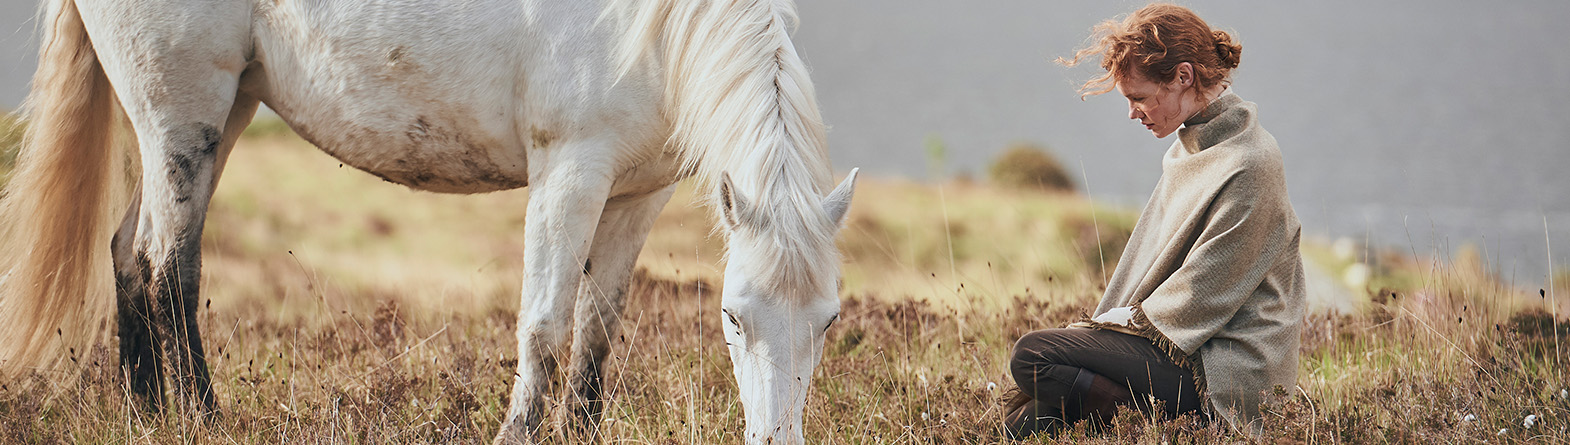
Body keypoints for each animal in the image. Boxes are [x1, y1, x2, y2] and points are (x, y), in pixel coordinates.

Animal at [0, 0, 860, 443]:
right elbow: (544, 325)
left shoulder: (633, 197)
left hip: (221, 110)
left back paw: (142, 411)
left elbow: (597, 331)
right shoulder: (568, 174)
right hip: (183, 116)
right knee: (166, 264)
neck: (650, 29)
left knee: (127, 252)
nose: (777, 439)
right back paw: (201, 416)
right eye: (734, 317)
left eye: (827, 320)